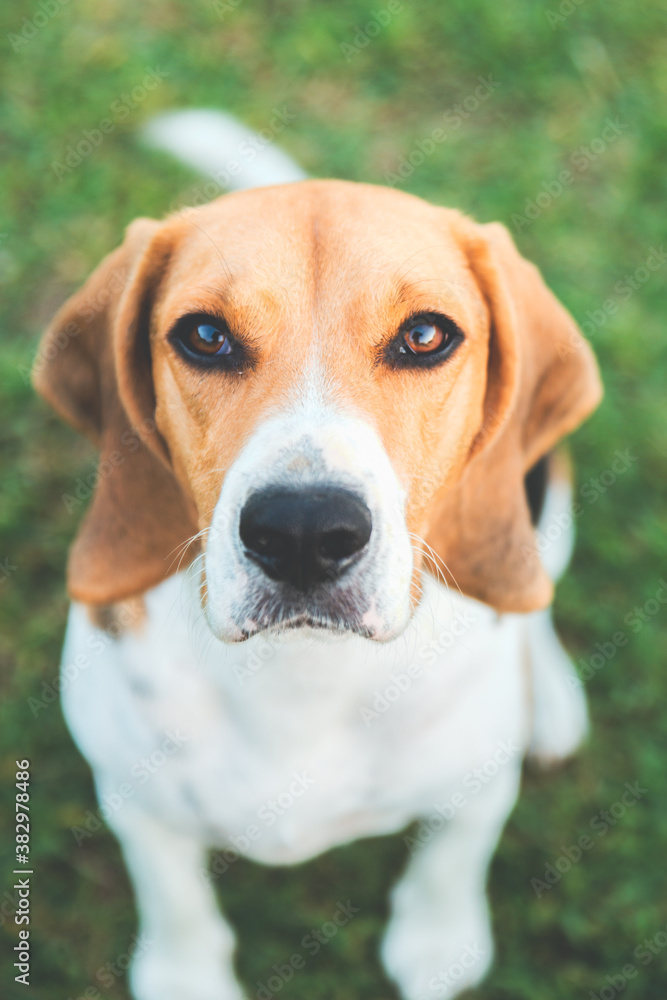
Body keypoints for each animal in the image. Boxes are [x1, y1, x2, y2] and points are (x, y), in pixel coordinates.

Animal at [34, 111, 604, 1000]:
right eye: (204, 335)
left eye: (424, 335)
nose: (303, 531)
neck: (302, 674)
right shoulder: (134, 796)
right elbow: (173, 892)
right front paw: (185, 973)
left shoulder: (478, 787)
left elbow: (452, 853)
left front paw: (438, 940)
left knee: (529, 592)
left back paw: (546, 696)